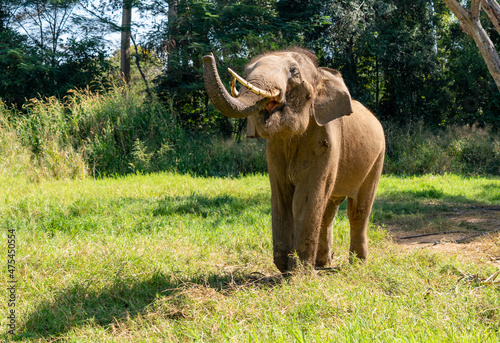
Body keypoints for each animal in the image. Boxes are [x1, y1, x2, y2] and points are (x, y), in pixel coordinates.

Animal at [201, 49, 384, 274]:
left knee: (358, 210)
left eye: (294, 71)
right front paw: (286, 267)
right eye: (247, 70)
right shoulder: (274, 150)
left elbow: (305, 198)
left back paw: (356, 265)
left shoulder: (327, 142)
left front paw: (299, 271)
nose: (207, 56)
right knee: (329, 208)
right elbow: (282, 196)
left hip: (377, 158)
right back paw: (322, 263)